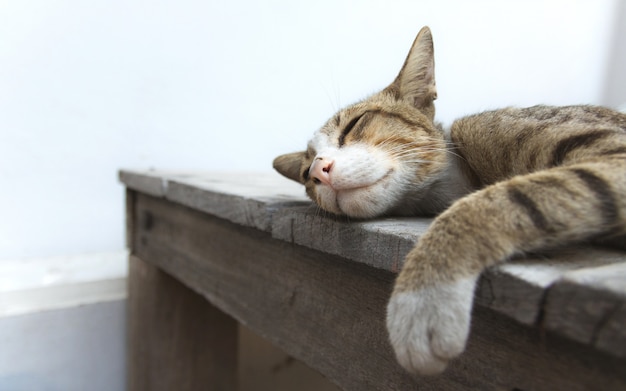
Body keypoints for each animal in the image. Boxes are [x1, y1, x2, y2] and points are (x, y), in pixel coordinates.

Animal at [270, 26, 620, 376]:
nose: (319, 170)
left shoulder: (612, 151)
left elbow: (490, 201)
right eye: (305, 173)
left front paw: (422, 299)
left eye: (355, 124)